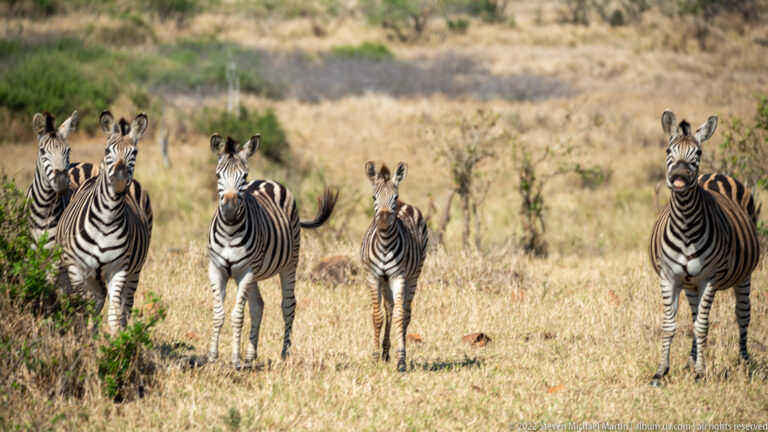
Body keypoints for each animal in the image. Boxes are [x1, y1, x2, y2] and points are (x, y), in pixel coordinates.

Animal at [56, 111, 153, 333]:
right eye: (108, 150)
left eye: (134, 152)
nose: (119, 183)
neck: (106, 219)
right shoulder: (76, 269)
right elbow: (81, 308)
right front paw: (81, 335)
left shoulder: (118, 270)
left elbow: (115, 315)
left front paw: (118, 340)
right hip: (89, 274)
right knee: (95, 300)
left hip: (134, 272)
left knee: (125, 305)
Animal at [207, 134, 337, 367]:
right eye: (218, 174)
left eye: (244, 176)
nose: (229, 211)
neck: (230, 231)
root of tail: (268, 181)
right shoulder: (216, 269)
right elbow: (218, 314)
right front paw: (213, 357)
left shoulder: (246, 271)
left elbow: (237, 316)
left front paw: (235, 360)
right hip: (253, 273)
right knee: (258, 306)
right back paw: (251, 355)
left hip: (289, 263)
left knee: (288, 305)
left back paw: (284, 353)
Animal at [361, 161, 428, 372]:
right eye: (374, 197)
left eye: (394, 197)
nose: (382, 222)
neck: (384, 244)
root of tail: (407, 204)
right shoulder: (373, 276)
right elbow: (378, 316)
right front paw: (375, 357)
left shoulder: (399, 276)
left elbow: (399, 316)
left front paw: (401, 360)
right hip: (384, 280)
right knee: (388, 309)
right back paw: (385, 352)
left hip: (414, 274)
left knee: (405, 312)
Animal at [648, 110, 760, 385]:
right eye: (668, 150)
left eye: (697, 152)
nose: (679, 175)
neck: (685, 224)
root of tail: (717, 175)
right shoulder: (669, 277)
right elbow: (670, 325)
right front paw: (661, 372)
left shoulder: (710, 278)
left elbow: (702, 326)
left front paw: (700, 372)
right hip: (690, 284)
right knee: (695, 313)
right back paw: (691, 360)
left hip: (743, 275)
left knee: (742, 314)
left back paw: (743, 361)